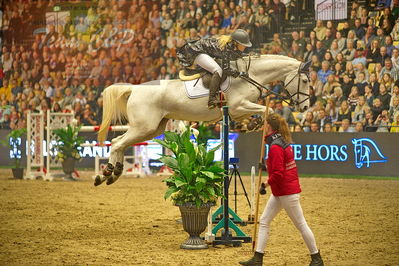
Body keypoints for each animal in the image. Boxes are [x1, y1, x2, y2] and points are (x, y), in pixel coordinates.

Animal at [95, 55, 310, 186]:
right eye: (306, 81)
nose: (305, 108)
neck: (251, 74)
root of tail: (135, 88)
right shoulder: (238, 106)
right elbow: (270, 109)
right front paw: (255, 124)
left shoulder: (238, 110)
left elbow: (259, 113)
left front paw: (250, 125)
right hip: (144, 127)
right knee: (117, 143)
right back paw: (108, 173)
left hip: (153, 129)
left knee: (118, 142)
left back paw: (111, 174)